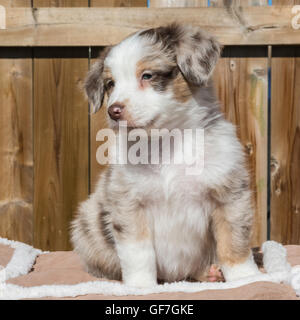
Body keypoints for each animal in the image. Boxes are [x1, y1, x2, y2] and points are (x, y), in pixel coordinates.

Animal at [70, 23, 260, 288]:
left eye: (147, 76)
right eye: (110, 84)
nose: (113, 111)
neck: (167, 142)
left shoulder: (229, 194)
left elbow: (234, 241)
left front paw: (246, 278)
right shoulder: (128, 204)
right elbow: (138, 253)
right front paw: (140, 286)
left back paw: (211, 273)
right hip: (87, 224)